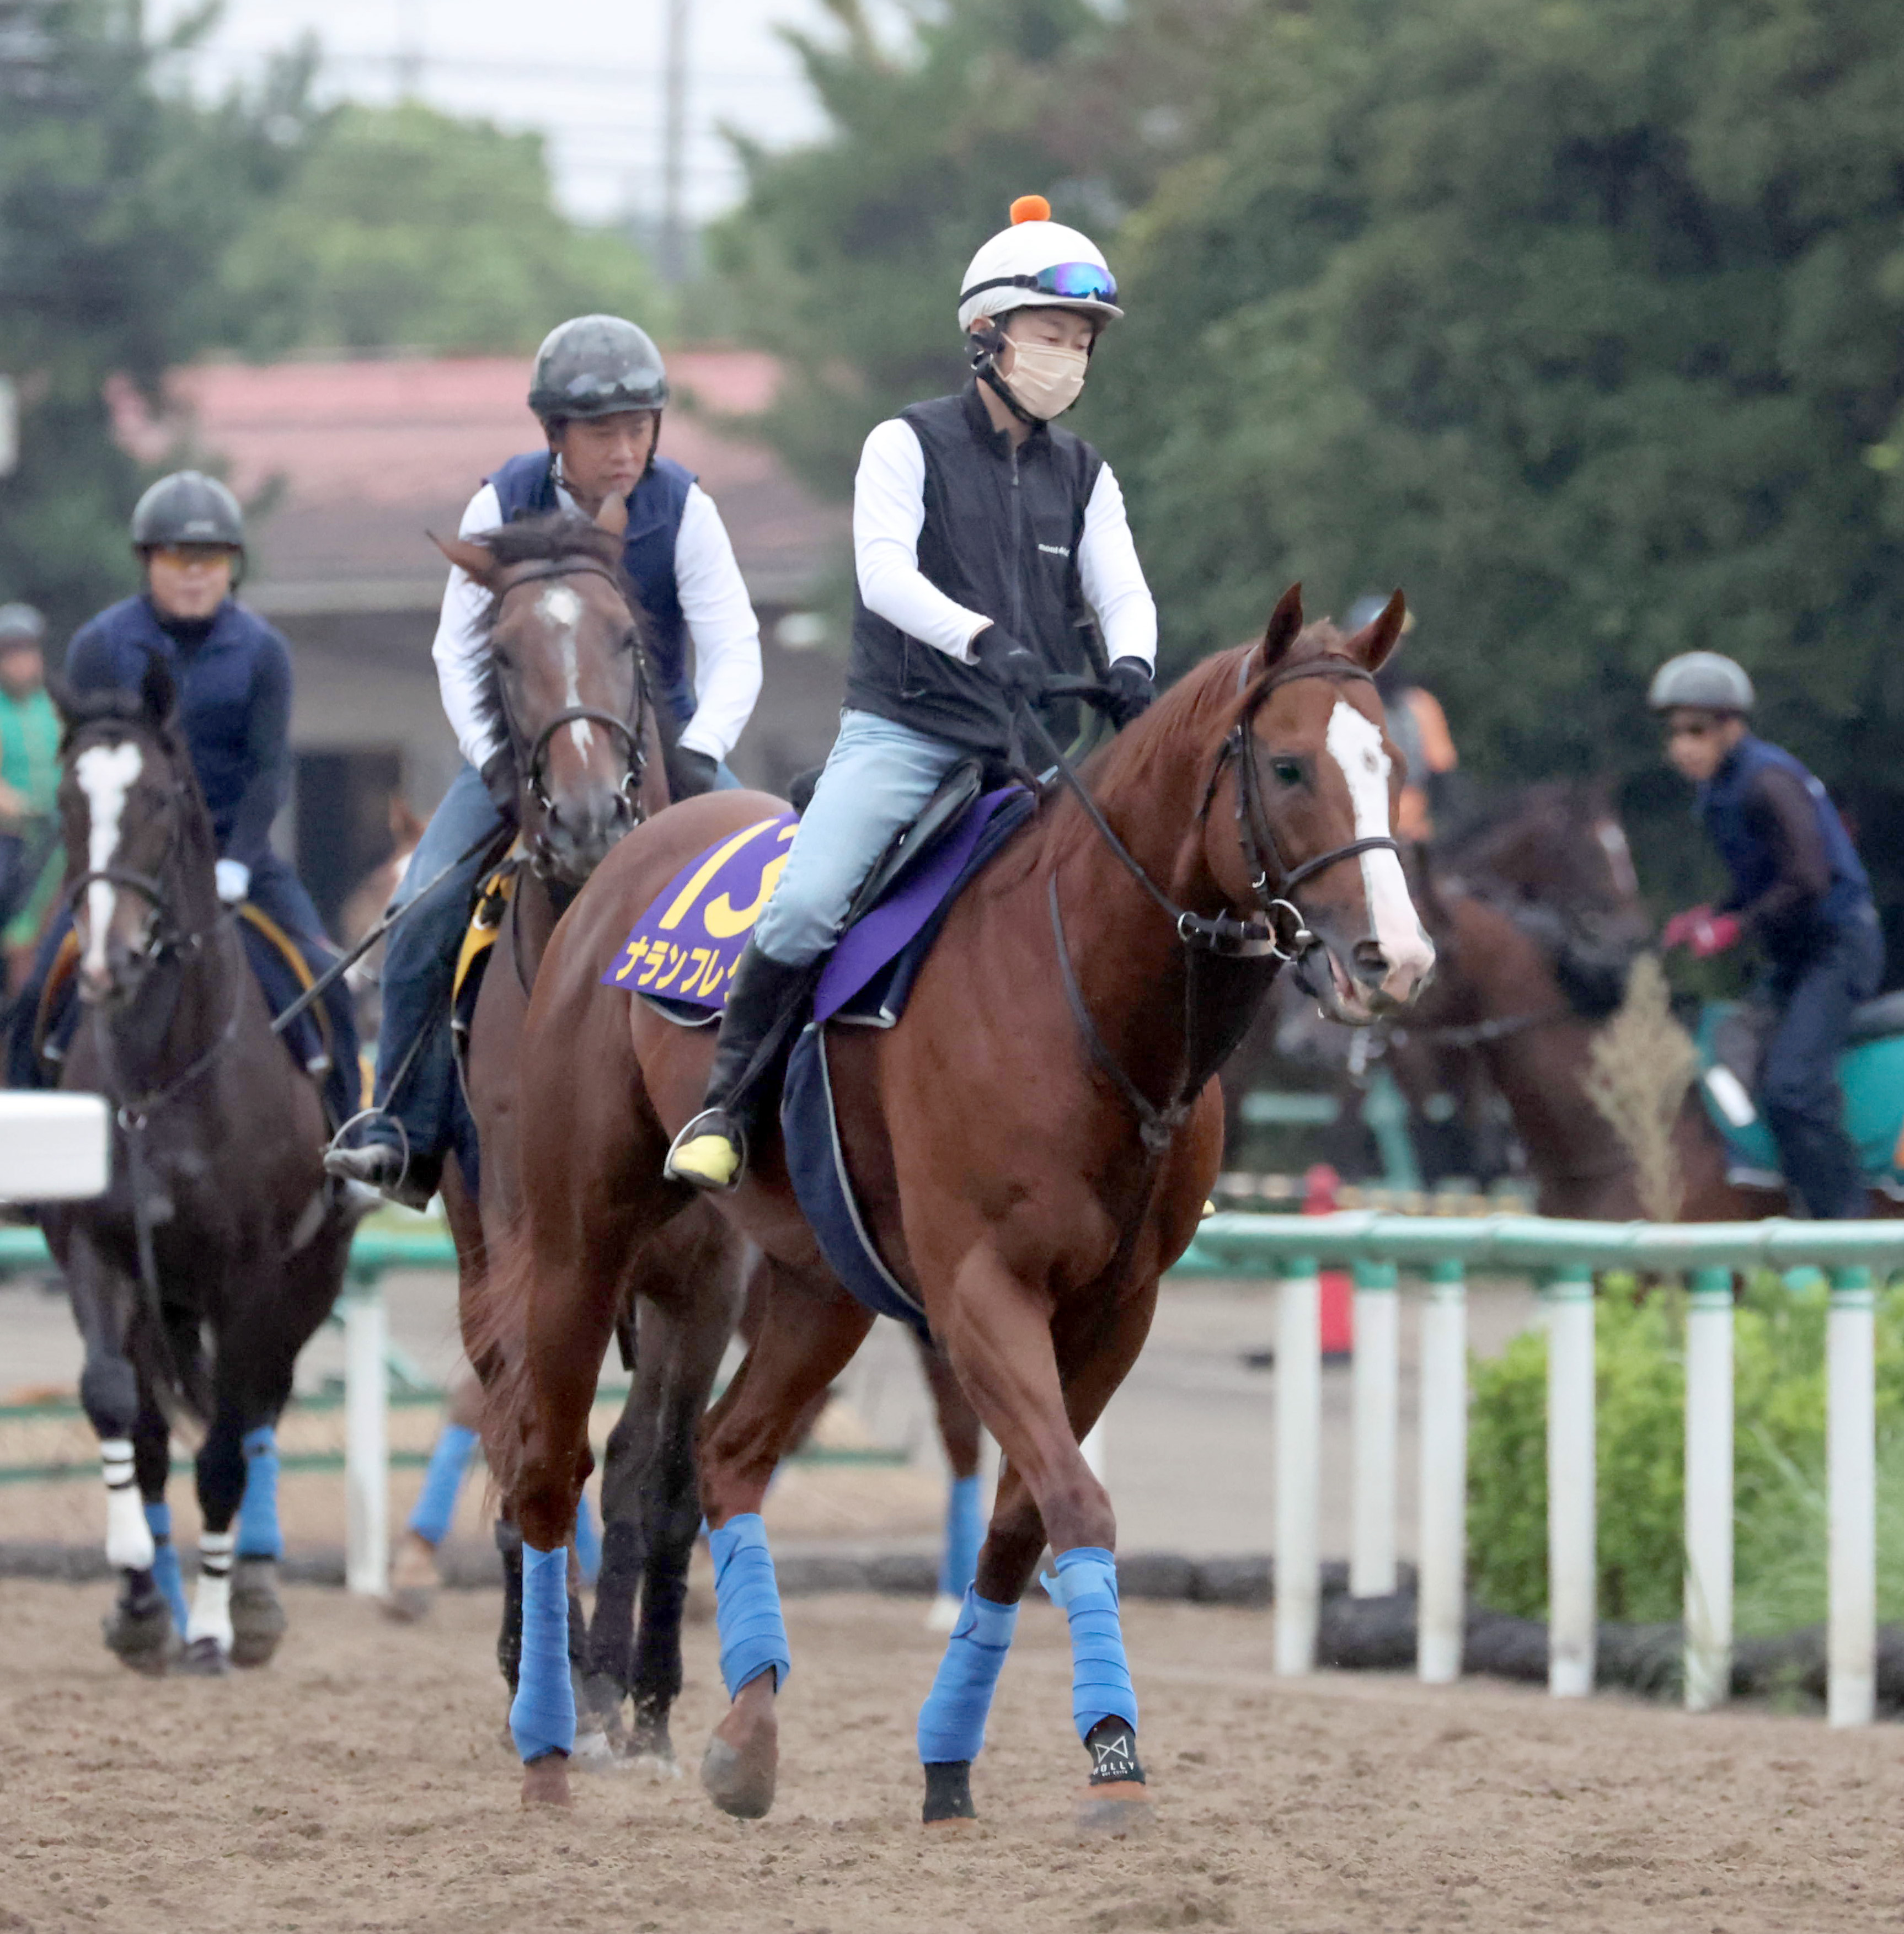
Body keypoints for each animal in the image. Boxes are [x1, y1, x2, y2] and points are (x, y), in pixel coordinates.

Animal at [37, 661, 356, 1679]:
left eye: (161, 797)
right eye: (69, 800)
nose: (110, 958)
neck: (161, 1078)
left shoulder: (250, 1278)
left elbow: (222, 1447)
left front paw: (215, 1624)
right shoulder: (98, 1252)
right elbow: (116, 1409)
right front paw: (138, 1592)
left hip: (304, 1283)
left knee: (257, 1411)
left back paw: (246, 1595)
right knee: (152, 1424)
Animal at [431, 502, 751, 1771]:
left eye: (627, 636)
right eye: (504, 651)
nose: (579, 818)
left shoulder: (707, 1273)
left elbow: (658, 1473)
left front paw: (645, 1693)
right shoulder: (531, 1246)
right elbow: (538, 1444)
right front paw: (554, 1676)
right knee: (519, 1425)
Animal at [476, 580, 1424, 1818]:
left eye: (1387, 761)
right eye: (1290, 765)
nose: (1395, 958)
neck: (1080, 990)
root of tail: (619, 861)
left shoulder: (1117, 1310)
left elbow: (1025, 1522)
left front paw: (952, 1760)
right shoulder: (982, 1289)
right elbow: (1074, 1501)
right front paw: (1113, 1751)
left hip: (818, 1281)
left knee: (727, 1452)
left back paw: (748, 1729)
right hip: (581, 1240)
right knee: (548, 1462)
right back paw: (550, 1744)